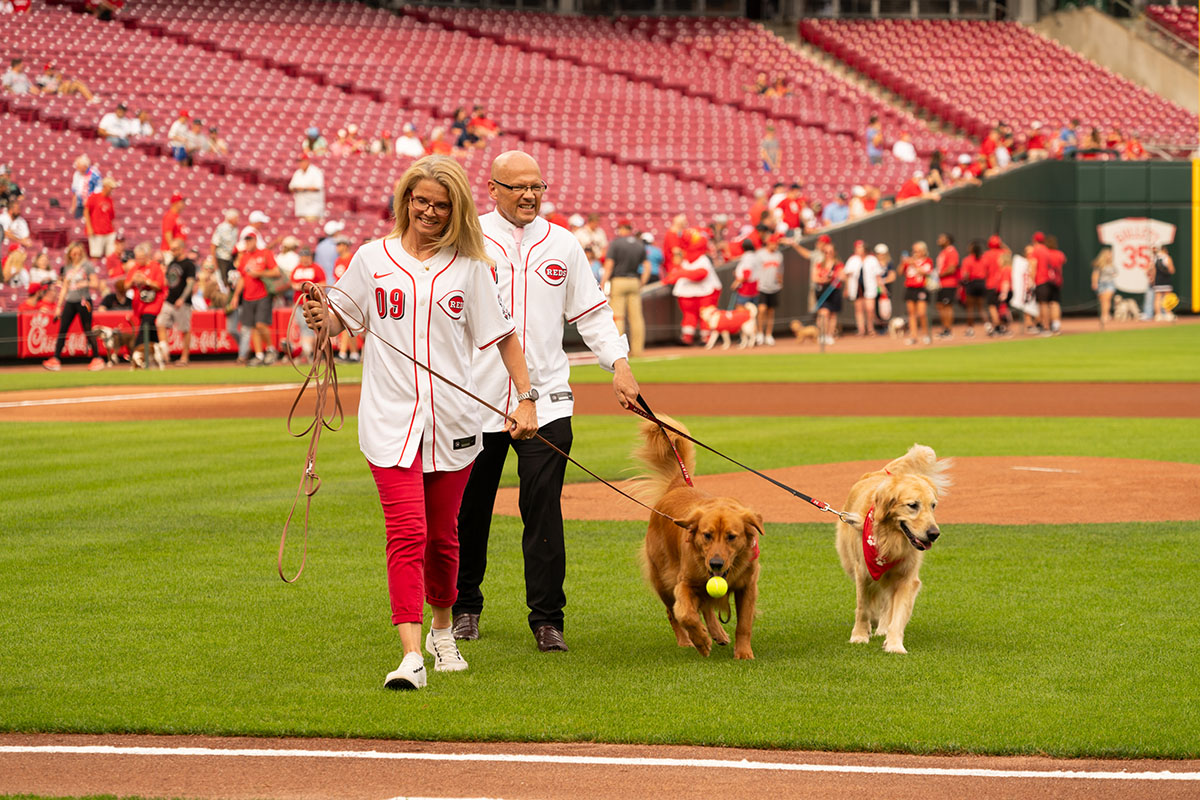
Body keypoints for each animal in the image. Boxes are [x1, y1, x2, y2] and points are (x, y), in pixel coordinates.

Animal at [633, 417, 763, 662]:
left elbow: (743, 623)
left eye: (731, 537)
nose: (715, 564)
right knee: (672, 612)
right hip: (663, 578)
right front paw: (701, 641)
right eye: (707, 535)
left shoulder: (747, 586)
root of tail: (678, 485)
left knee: (706, 606)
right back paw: (686, 641)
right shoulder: (684, 583)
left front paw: (743, 653)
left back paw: (718, 633)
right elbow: (685, 614)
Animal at [840, 443, 950, 657]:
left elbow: (897, 614)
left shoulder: (907, 578)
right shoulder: (863, 572)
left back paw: (883, 627)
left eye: (933, 505)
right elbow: (863, 608)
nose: (934, 534)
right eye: (913, 505)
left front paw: (894, 644)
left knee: (886, 603)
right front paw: (859, 636)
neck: (890, 539)